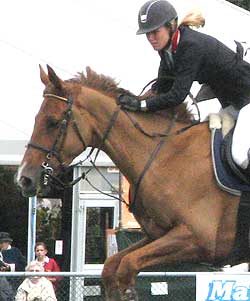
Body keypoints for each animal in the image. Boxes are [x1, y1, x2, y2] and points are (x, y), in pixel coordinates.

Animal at [16, 64, 247, 298]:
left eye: (52, 122)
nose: (24, 179)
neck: (166, 156)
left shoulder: (197, 240)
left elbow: (127, 266)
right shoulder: (156, 235)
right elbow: (112, 266)